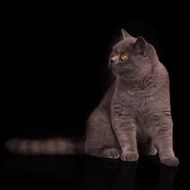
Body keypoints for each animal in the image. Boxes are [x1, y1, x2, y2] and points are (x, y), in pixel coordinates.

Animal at [5, 28, 178, 166]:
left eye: (123, 57)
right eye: (113, 52)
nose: (111, 60)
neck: (139, 86)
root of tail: (85, 138)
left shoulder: (161, 114)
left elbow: (166, 138)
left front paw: (169, 158)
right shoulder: (122, 115)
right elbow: (127, 137)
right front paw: (129, 154)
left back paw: (149, 150)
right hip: (100, 120)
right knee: (90, 149)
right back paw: (113, 151)